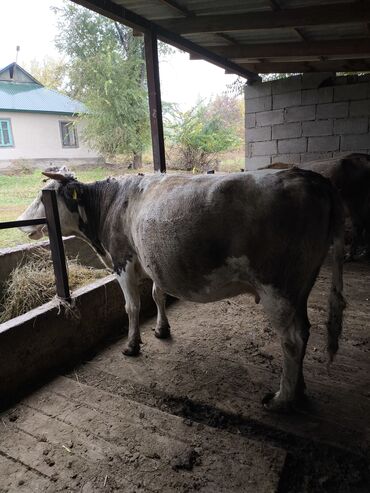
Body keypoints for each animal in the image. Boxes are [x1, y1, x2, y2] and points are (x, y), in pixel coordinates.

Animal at [18, 167, 346, 410]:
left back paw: (282, 399)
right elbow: (157, 294)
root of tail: (309, 176)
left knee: (291, 339)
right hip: (299, 288)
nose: (21, 222)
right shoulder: (152, 261)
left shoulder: (123, 260)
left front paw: (132, 345)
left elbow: (132, 306)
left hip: (277, 287)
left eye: (43, 196)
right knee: (304, 331)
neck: (108, 206)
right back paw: (298, 389)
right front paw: (162, 329)